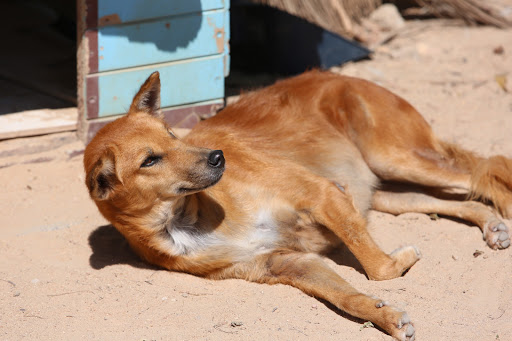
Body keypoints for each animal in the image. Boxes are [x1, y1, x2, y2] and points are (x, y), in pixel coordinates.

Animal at [84, 70, 512, 338]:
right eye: (150, 160)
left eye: (173, 135)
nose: (218, 157)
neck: (185, 221)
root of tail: (341, 74)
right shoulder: (285, 263)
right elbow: (349, 295)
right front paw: (386, 317)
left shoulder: (321, 193)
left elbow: (378, 269)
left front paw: (398, 265)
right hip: (383, 188)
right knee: (461, 195)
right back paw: (490, 225)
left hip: (394, 157)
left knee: (485, 171)